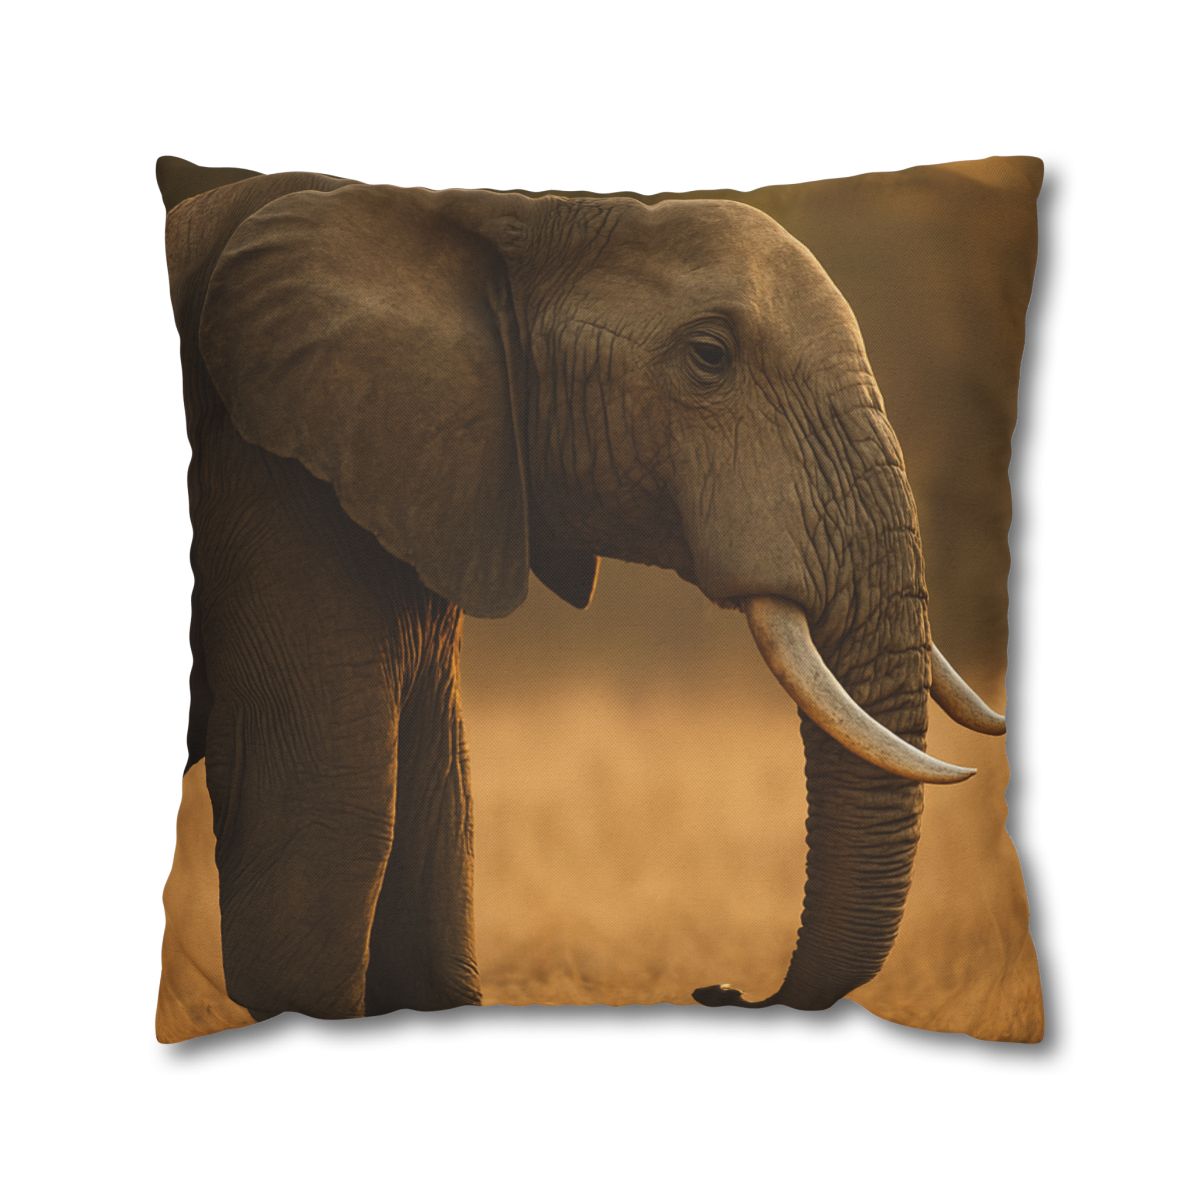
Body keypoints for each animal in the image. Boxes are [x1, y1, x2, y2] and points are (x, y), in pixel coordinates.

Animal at [156, 155, 1004, 1023]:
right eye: (710, 355)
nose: (722, 988)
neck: (499, 215)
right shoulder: (268, 484)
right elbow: (330, 824)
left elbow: (437, 822)